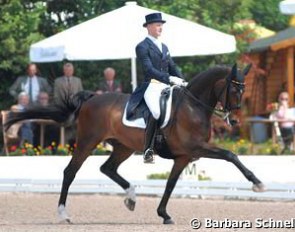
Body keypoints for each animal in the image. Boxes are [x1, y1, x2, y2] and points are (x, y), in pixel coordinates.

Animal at [5, 63, 266, 225]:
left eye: (243, 91)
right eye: (234, 89)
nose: (234, 120)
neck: (193, 106)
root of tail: (91, 98)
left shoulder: (184, 156)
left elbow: (170, 184)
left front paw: (164, 214)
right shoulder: (195, 148)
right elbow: (231, 155)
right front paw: (257, 183)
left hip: (124, 147)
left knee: (107, 168)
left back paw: (131, 197)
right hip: (88, 142)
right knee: (70, 172)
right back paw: (63, 214)